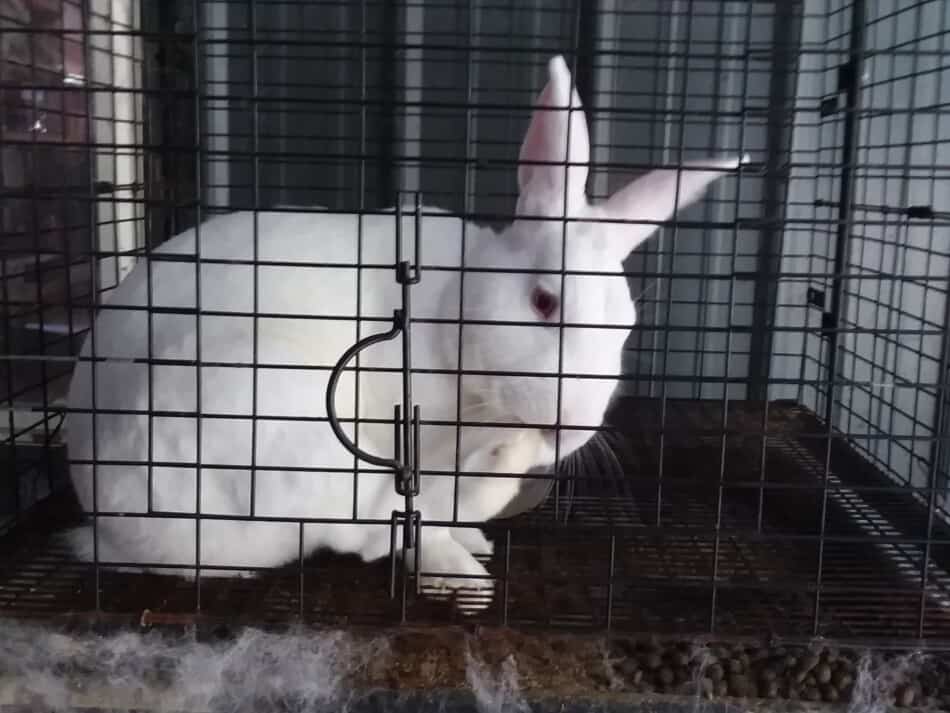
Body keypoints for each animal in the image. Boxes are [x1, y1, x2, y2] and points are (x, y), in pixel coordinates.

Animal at [63, 57, 748, 612]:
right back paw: (463, 571)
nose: (569, 428)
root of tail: (110, 524)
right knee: (358, 526)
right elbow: (404, 521)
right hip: (259, 414)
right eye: (544, 301)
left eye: (626, 326)